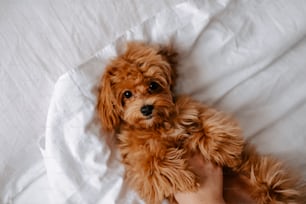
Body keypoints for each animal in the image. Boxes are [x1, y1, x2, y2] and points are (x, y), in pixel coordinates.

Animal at [98, 41, 304, 204]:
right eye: (127, 94)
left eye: (153, 85)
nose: (146, 108)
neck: (158, 125)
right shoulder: (137, 164)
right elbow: (153, 165)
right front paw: (186, 178)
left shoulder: (190, 110)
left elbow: (208, 121)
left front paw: (222, 149)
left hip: (269, 181)